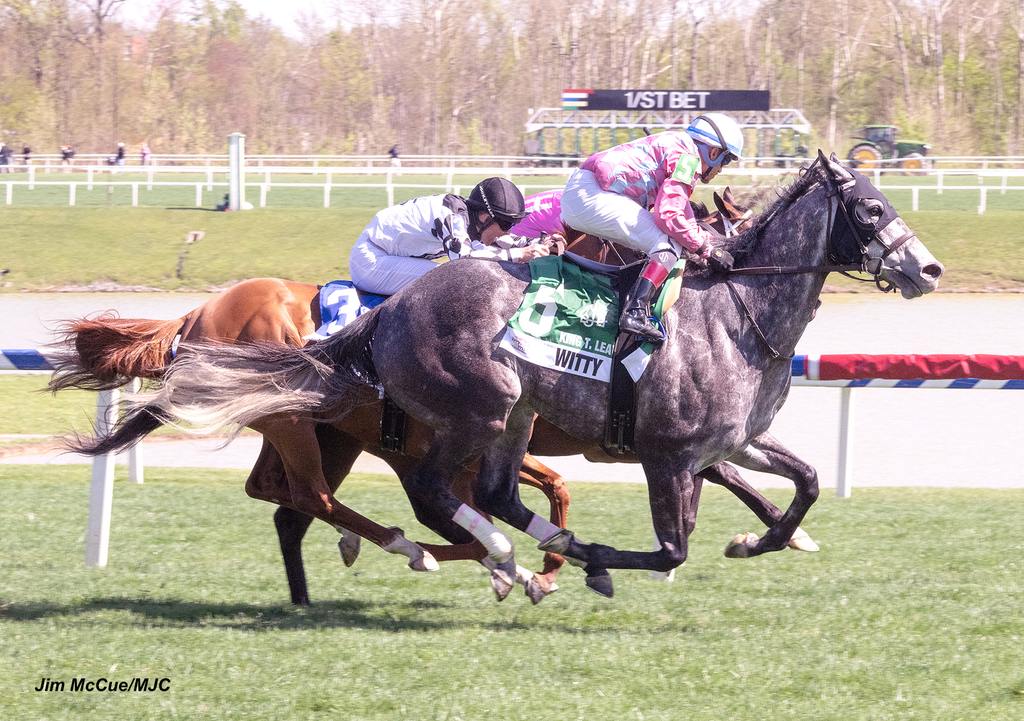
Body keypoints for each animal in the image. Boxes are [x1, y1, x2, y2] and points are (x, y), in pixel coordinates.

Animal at [77, 156, 942, 598]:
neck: (731, 310)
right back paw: (461, 553)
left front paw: (763, 537)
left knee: (310, 503)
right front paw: (596, 561)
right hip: (453, 412)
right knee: (384, 497)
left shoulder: (728, 440)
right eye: (870, 210)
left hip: (437, 422)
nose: (927, 267)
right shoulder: (667, 451)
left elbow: (801, 485)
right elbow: (671, 548)